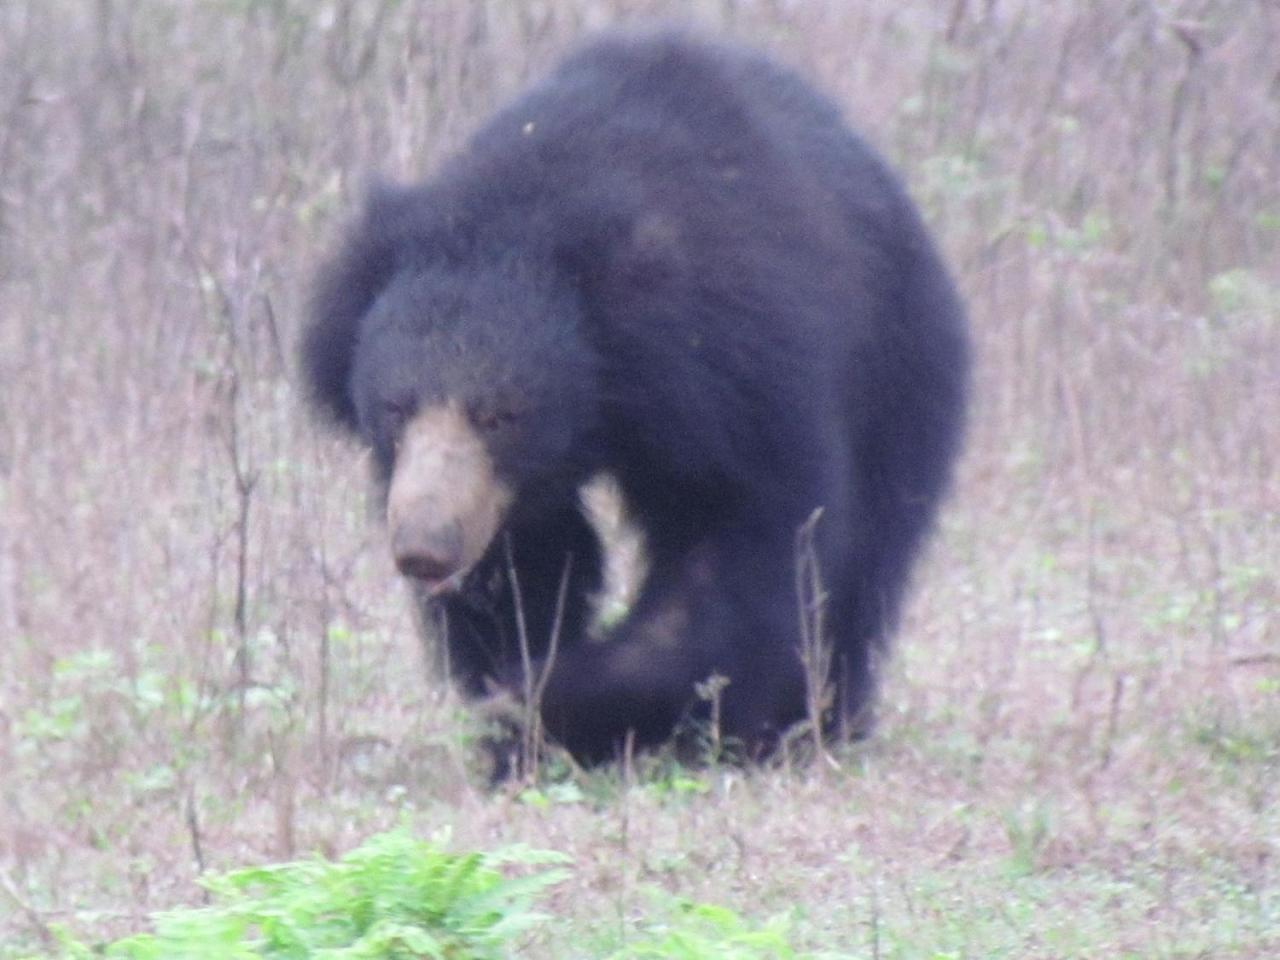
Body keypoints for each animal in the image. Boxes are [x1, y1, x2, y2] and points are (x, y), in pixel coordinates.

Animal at [302, 32, 967, 768]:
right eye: (395, 408)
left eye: (501, 416)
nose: (426, 549)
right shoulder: (508, 493)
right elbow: (527, 565)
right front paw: (514, 712)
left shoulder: (745, 381)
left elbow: (743, 550)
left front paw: (547, 698)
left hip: (897, 374)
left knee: (870, 549)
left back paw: (814, 723)